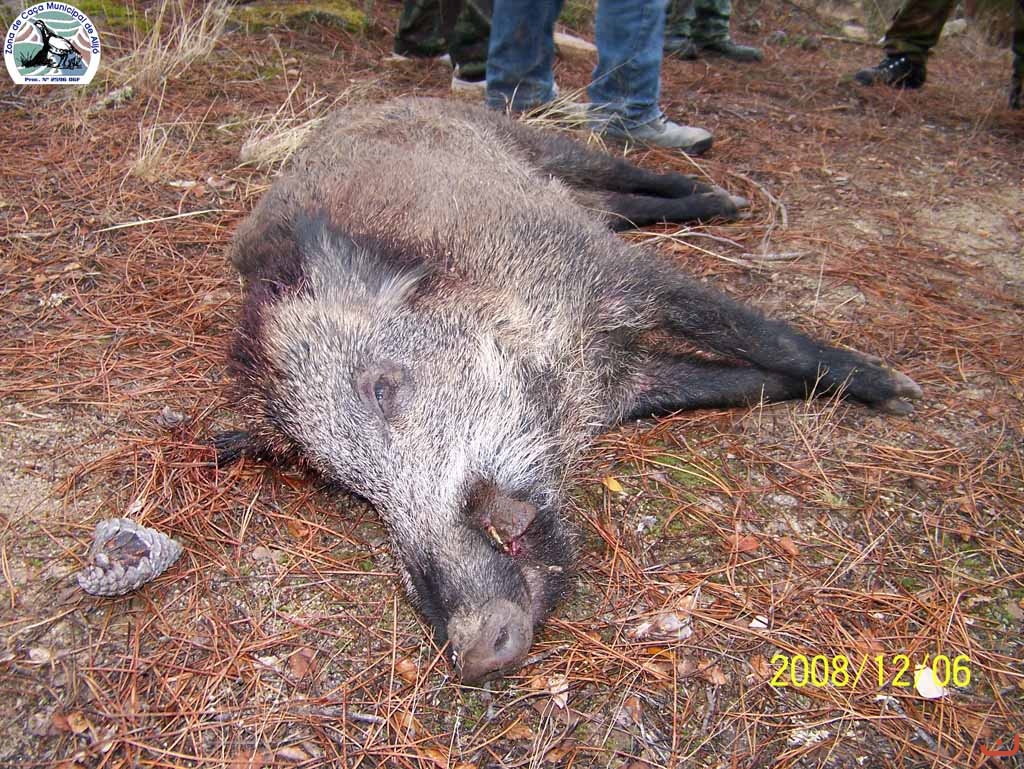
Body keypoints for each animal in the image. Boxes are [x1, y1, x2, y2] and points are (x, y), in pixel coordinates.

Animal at [220, 97, 921, 683]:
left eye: (383, 389)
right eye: (347, 488)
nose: (473, 652)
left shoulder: (617, 273)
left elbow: (758, 333)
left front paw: (899, 392)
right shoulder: (629, 380)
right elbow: (740, 383)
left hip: (537, 139)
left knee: (622, 171)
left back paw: (725, 198)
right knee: (617, 204)